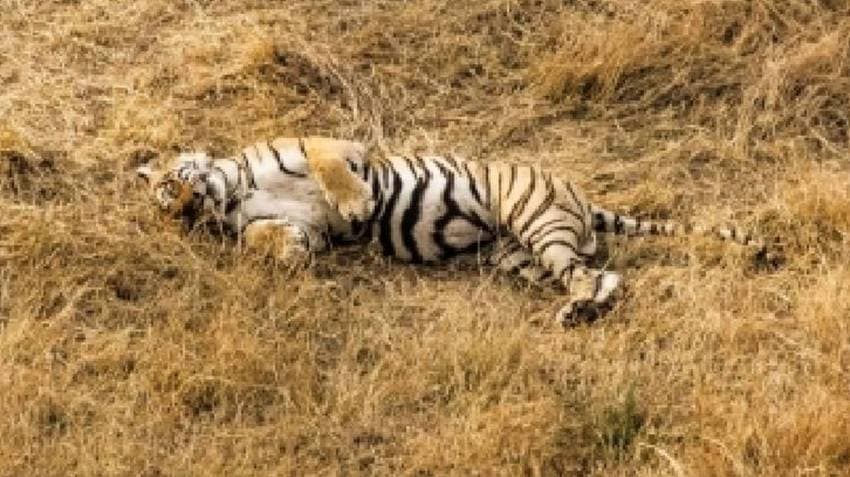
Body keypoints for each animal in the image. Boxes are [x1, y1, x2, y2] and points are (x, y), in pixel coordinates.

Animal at [136, 137, 766, 325]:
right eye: (172, 210)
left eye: (171, 189)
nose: (188, 209)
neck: (234, 191)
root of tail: (584, 201)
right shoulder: (294, 225)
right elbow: (269, 237)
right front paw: (288, 251)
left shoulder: (334, 144)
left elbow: (329, 167)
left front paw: (356, 203)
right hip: (521, 255)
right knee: (600, 277)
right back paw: (579, 311)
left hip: (532, 220)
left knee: (592, 274)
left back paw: (578, 309)